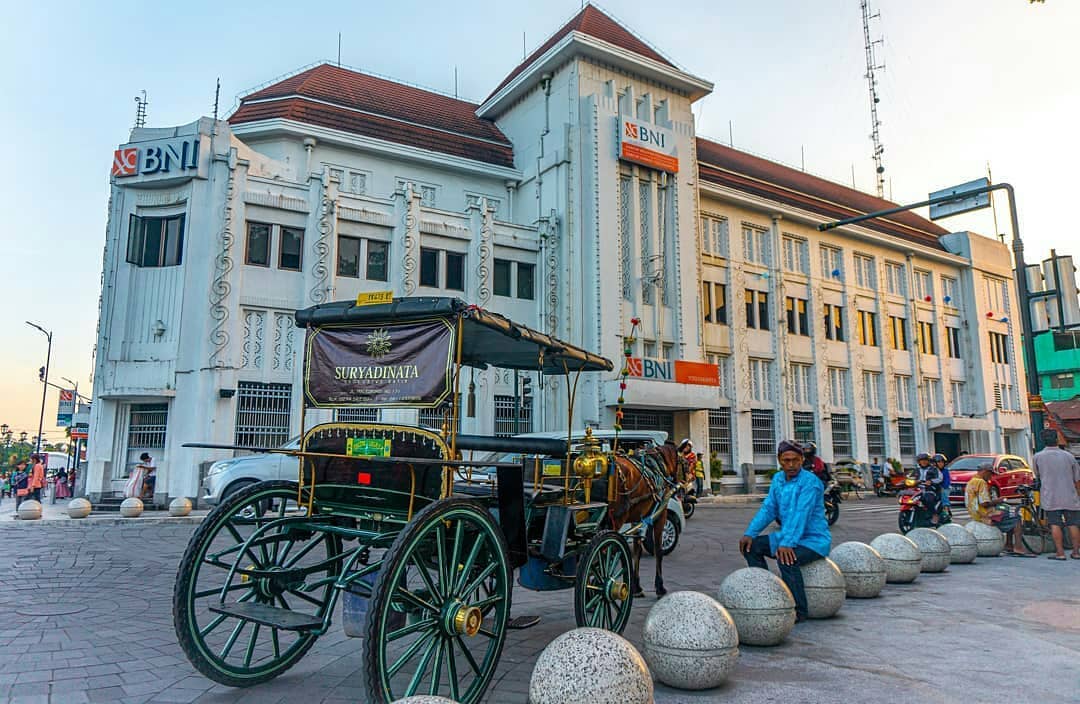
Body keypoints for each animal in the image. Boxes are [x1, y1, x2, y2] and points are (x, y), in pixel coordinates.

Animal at [609, 442, 682, 596]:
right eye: (681, 461)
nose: (678, 486)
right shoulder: (661, 515)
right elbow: (658, 549)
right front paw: (660, 586)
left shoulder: (637, 518)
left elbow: (637, 549)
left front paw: (636, 586)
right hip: (615, 520)